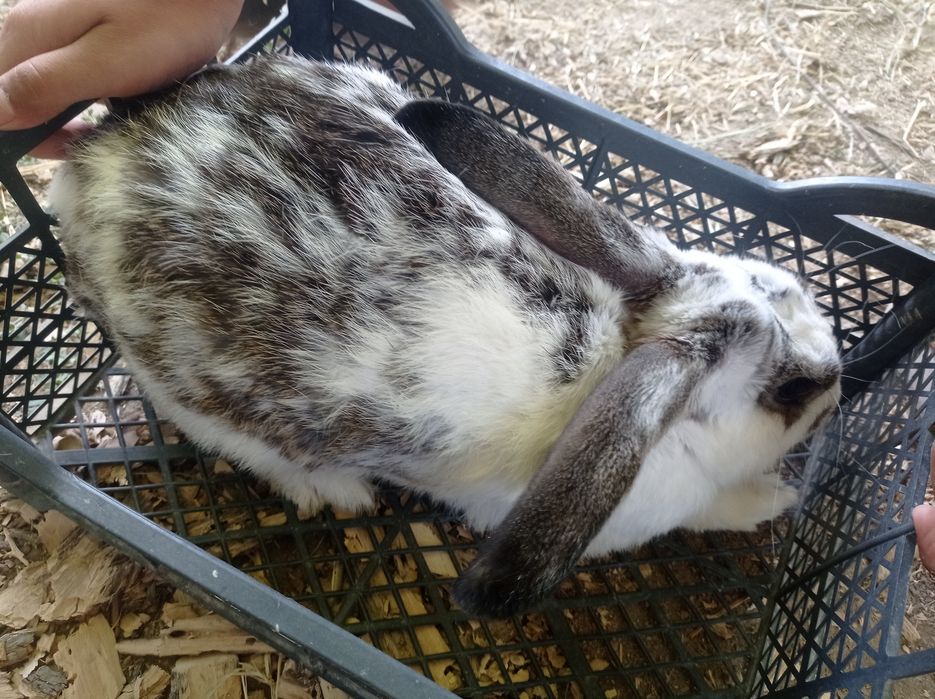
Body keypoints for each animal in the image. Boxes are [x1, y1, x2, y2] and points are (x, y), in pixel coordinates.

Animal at [49, 53, 842, 618]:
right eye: (791, 392)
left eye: (782, 283)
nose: (838, 377)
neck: (629, 353)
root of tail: (99, 163)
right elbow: (718, 508)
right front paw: (773, 499)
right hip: (196, 400)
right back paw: (338, 491)